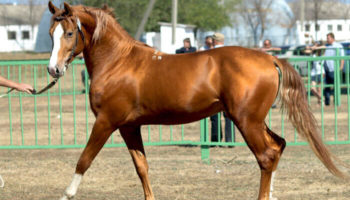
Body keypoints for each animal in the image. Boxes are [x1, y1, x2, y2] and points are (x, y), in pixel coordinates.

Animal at [47, 1, 346, 200]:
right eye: (51, 34)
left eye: (70, 33)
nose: (53, 69)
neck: (119, 62)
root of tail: (270, 58)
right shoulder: (129, 126)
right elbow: (142, 167)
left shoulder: (106, 122)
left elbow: (84, 160)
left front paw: (66, 194)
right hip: (255, 120)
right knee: (278, 145)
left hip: (246, 121)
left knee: (266, 156)